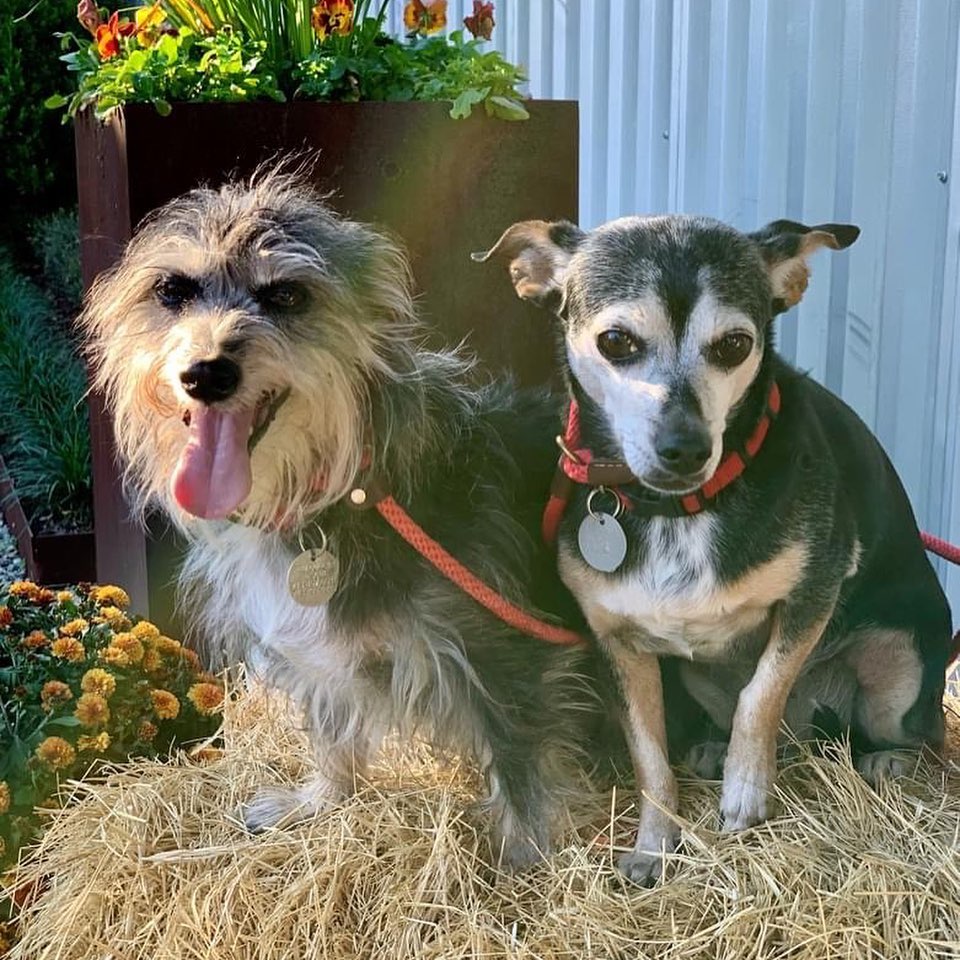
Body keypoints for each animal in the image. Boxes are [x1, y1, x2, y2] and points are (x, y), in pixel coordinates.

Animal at [480, 214, 952, 880]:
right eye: (616, 341)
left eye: (733, 345)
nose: (685, 447)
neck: (675, 509)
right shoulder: (618, 644)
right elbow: (650, 759)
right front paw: (653, 845)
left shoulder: (816, 589)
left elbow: (761, 692)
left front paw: (744, 791)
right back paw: (708, 748)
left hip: (899, 669)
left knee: (915, 732)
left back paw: (887, 759)